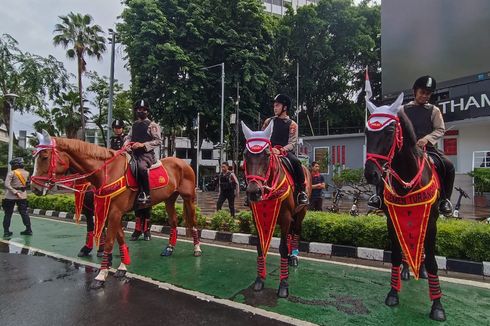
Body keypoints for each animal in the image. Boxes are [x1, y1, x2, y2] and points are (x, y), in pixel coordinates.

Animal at [31, 131, 201, 290]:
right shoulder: (110, 211)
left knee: (193, 222)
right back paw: (169, 248)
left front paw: (101, 275)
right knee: (173, 222)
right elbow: (119, 238)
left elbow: (109, 242)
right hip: (169, 199)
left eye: (44, 157)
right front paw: (122, 267)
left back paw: (197, 248)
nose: (34, 188)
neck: (107, 172)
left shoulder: (115, 212)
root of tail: (182, 163)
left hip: (188, 198)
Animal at [240, 120, 310, 298]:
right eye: (245, 155)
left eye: (267, 155)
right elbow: (259, 247)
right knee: (291, 234)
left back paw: (294, 257)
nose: (253, 192)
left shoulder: (285, 218)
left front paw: (284, 285)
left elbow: (283, 248)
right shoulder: (256, 217)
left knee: (296, 231)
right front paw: (259, 280)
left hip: (301, 212)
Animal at [364, 93, 448, 322]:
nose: (371, 174)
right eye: (366, 132)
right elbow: (395, 253)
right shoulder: (391, 218)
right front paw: (393, 293)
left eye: (390, 131)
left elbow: (433, 262)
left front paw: (437, 306)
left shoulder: (432, 221)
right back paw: (405, 270)